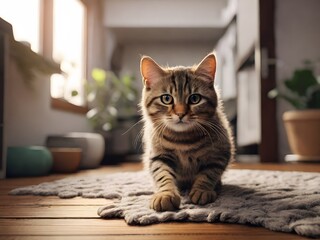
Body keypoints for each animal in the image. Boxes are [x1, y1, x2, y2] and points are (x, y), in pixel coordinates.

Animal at [141, 53, 235, 211]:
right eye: (166, 98)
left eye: (195, 98)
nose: (180, 114)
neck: (183, 140)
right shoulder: (158, 155)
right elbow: (162, 174)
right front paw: (165, 194)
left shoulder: (220, 153)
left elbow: (209, 173)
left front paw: (202, 190)